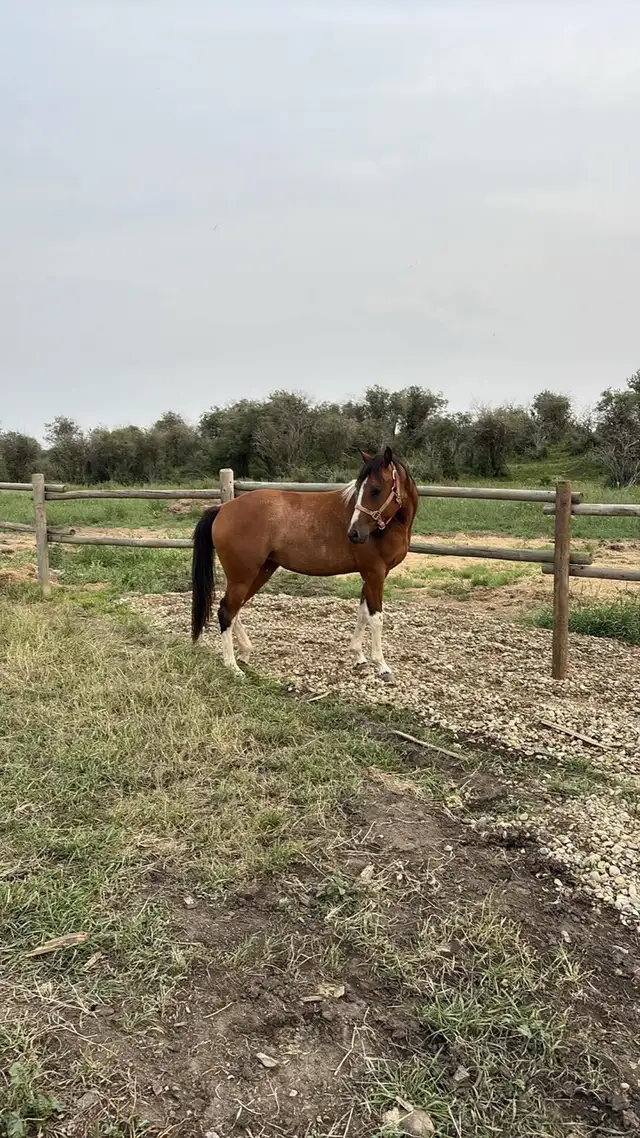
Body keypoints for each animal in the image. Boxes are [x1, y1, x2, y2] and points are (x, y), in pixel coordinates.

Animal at [191, 447, 419, 680]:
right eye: (362, 489)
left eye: (375, 489)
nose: (354, 533)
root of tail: (223, 508)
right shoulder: (375, 573)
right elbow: (376, 618)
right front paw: (382, 666)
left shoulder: (370, 575)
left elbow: (363, 614)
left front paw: (358, 656)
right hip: (242, 576)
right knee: (226, 611)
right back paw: (232, 666)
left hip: (261, 571)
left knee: (233, 609)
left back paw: (244, 652)